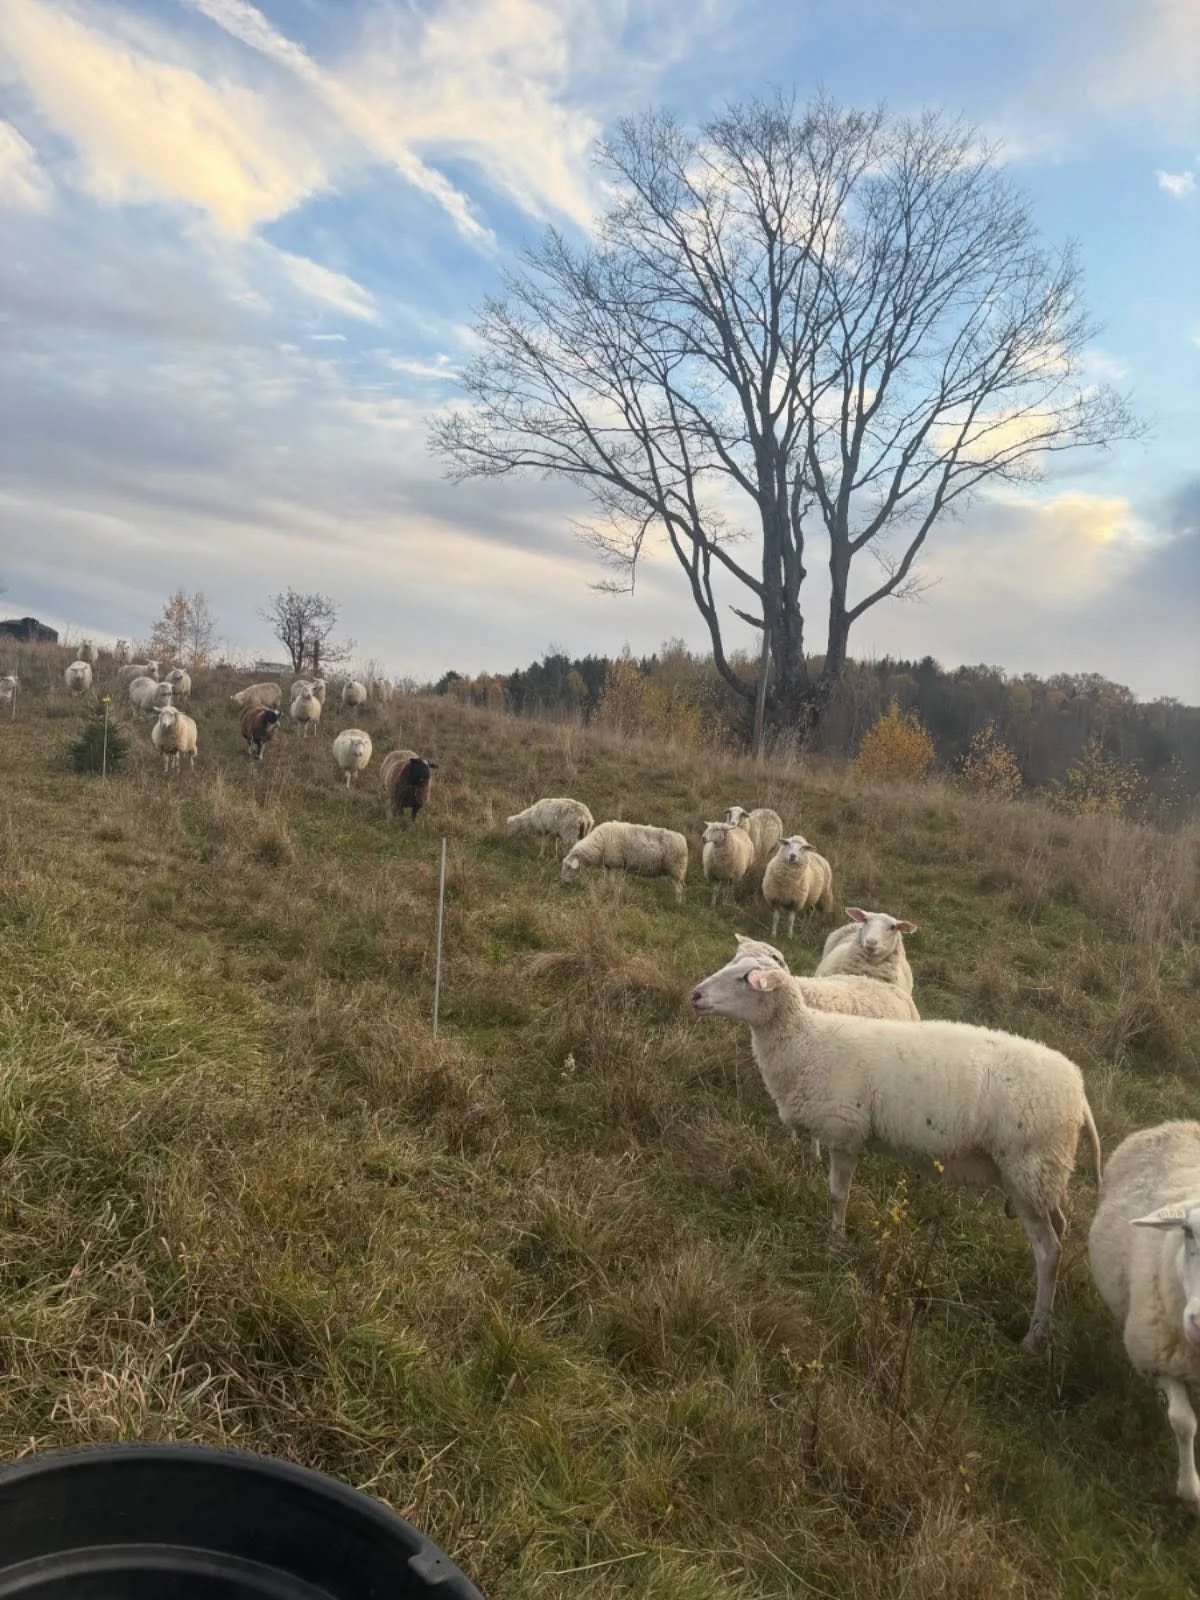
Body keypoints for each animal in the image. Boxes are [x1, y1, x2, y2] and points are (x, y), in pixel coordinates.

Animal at [560, 820, 688, 904]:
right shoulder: (609, 865)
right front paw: (607, 890)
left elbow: (612, 882)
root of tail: (683, 840)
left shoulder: (616, 865)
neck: (599, 843)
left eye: (569, 867)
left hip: (677, 869)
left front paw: (610, 892)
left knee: (679, 889)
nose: (564, 883)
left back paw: (677, 903)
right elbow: (607, 881)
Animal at [691, 939, 1101, 1349]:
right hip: (1041, 1176)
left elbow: (838, 1196)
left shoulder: (846, 1132)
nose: (695, 994)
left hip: (1027, 1170)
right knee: (1059, 1227)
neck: (806, 1041)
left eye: (746, 978)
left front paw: (834, 1245)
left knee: (1049, 1251)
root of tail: (1078, 1092)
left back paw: (1034, 1336)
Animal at [1088, 1121, 1200, 1513]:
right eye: (1188, 1231)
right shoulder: (1158, 1357)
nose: (1198, 1322)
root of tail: (1178, 1121)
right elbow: (1183, 1422)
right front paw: (1190, 1490)